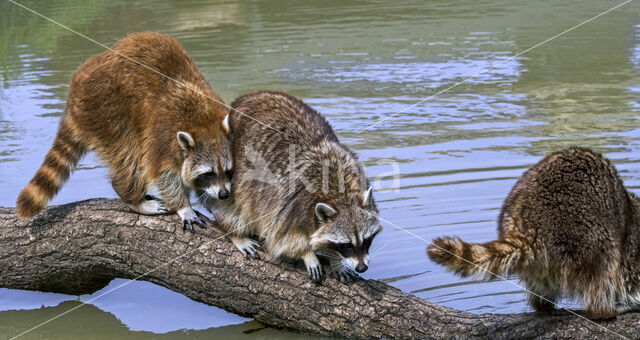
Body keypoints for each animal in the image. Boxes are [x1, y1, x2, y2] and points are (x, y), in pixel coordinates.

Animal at [15, 31, 232, 231]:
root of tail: (75, 92)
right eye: (209, 173)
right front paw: (183, 206)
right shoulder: (162, 138)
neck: (204, 124)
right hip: (107, 112)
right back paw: (133, 198)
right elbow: (164, 175)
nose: (224, 194)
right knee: (130, 160)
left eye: (228, 171)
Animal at [200, 89, 380, 282]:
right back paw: (235, 233)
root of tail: (251, 96)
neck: (340, 195)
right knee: (234, 205)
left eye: (367, 240)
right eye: (346, 245)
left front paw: (334, 260)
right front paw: (307, 254)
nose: (362, 267)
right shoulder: (291, 202)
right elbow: (282, 238)